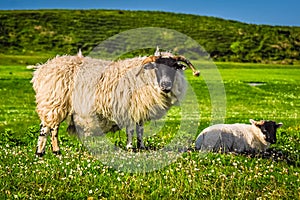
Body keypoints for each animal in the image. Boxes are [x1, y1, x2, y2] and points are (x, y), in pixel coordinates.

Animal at [31, 48, 199, 156]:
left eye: (174, 67)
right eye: (157, 67)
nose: (165, 86)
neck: (146, 77)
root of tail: (42, 69)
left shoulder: (139, 108)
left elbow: (140, 130)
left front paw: (141, 147)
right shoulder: (130, 107)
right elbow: (131, 130)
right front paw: (130, 148)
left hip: (55, 104)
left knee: (53, 128)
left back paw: (53, 152)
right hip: (53, 102)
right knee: (46, 128)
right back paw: (43, 153)